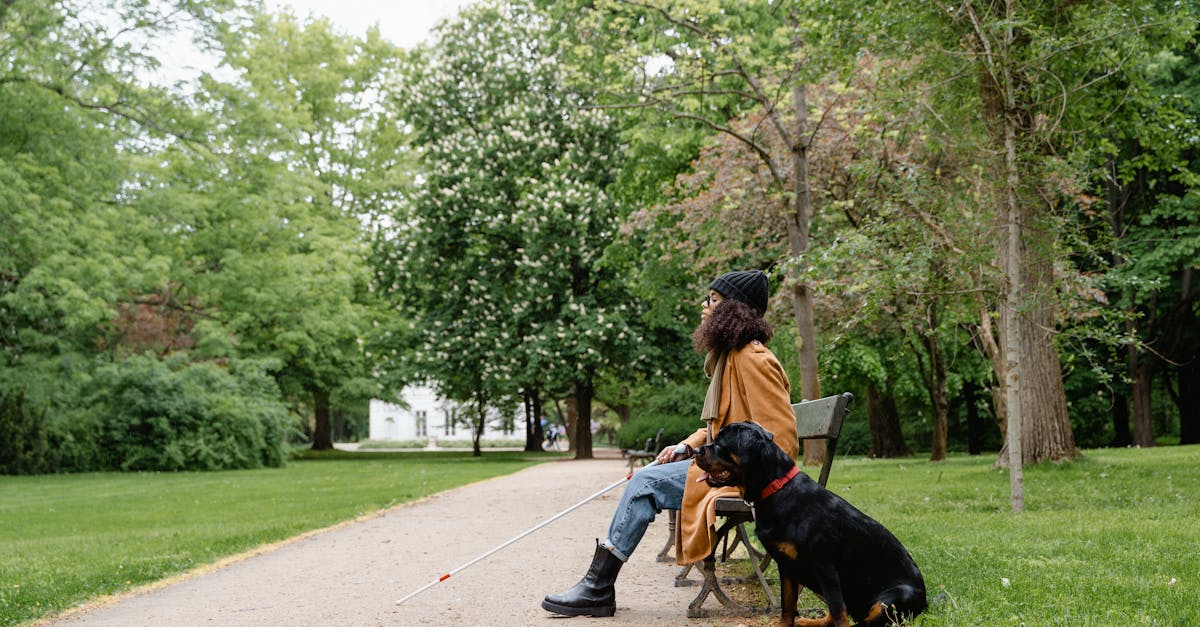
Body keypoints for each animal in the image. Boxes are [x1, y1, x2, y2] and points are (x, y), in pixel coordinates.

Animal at [696, 420, 926, 624]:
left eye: (720, 443)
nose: (696, 450)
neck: (776, 489)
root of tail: (926, 603)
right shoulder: (786, 566)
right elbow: (788, 607)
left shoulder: (825, 566)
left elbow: (838, 612)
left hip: (896, 596)